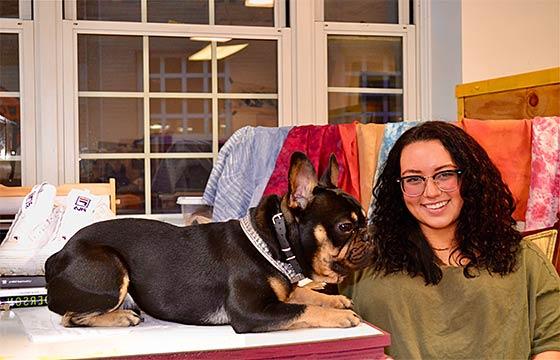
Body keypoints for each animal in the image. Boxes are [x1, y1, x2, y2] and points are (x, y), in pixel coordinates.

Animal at [46, 151, 374, 332]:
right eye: (345, 227)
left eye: (366, 219)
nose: (369, 236)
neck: (271, 243)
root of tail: (58, 257)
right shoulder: (250, 311)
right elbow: (303, 309)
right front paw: (341, 315)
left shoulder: (279, 295)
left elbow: (302, 295)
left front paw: (334, 300)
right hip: (110, 267)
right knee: (70, 317)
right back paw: (121, 317)